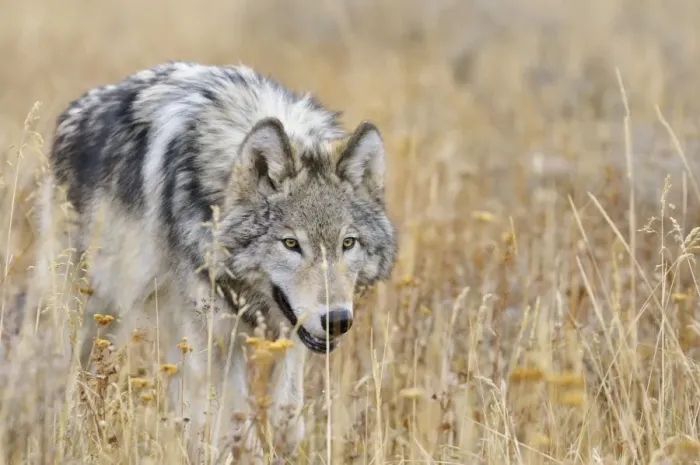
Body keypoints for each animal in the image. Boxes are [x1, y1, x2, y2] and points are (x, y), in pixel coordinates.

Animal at [31, 61, 397, 458]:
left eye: (348, 243)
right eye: (290, 244)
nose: (338, 320)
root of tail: (74, 110)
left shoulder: (288, 334)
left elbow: (286, 417)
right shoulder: (216, 337)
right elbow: (236, 427)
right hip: (96, 315)